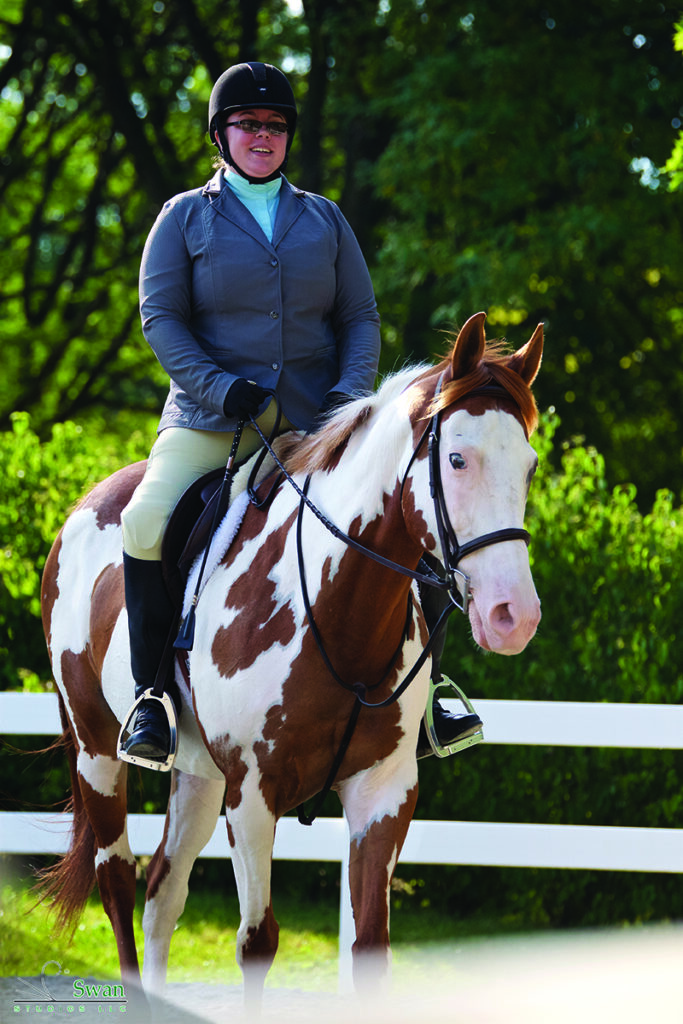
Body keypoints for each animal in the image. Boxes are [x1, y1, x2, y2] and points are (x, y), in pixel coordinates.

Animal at [41, 311, 544, 1007]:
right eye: (457, 458)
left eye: (528, 466)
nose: (512, 616)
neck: (338, 613)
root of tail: (83, 508)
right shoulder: (254, 792)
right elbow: (257, 943)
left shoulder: (384, 790)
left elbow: (371, 950)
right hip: (97, 752)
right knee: (117, 883)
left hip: (199, 774)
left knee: (163, 891)